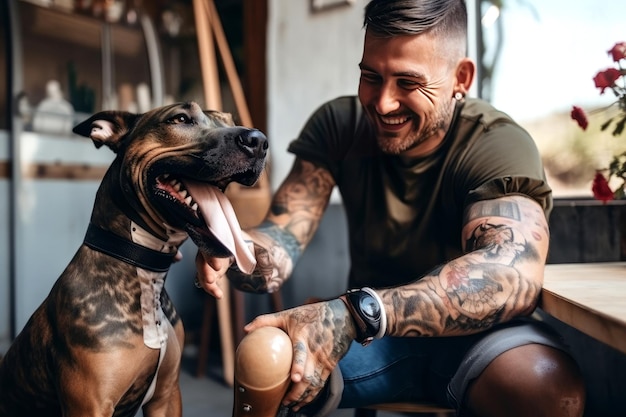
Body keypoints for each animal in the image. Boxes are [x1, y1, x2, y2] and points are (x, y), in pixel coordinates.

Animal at [0, 101, 266, 416]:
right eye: (180, 118)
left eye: (229, 119)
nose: (259, 141)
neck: (144, 269)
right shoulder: (89, 405)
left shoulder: (166, 395)